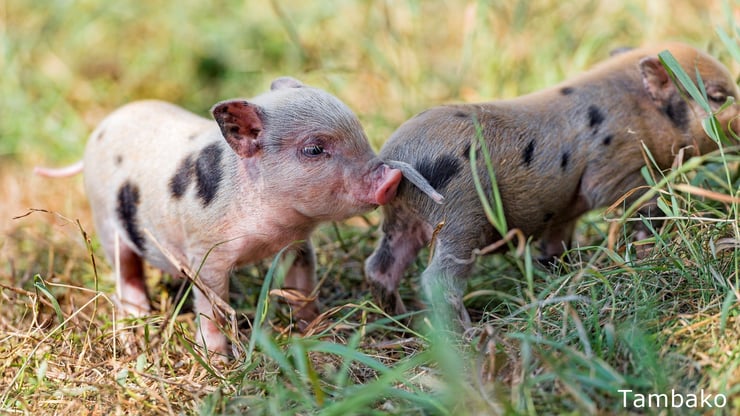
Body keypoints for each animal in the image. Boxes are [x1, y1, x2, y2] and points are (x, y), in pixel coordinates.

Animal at [36, 77, 442, 358]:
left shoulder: (298, 242)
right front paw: (219, 359)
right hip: (106, 220)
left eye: (360, 133)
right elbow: (212, 306)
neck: (271, 228)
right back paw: (137, 317)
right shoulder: (206, 252)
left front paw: (317, 328)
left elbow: (302, 286)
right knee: (126, 268)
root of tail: (98, 132)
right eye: (314, 149)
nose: (390, 178)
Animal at [365, 43, 740, 327]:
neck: (638, 110)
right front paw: (649, 243)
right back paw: (468, 334)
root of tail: (392, 158)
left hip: (403, 218)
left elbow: (556, 242)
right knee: (438, 280)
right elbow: (636, 203)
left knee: (380, 266)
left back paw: (398, 319)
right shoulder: (617, 169)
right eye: (718, 95)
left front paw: (560, 272)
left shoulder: (564, 209)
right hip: (459, 213)